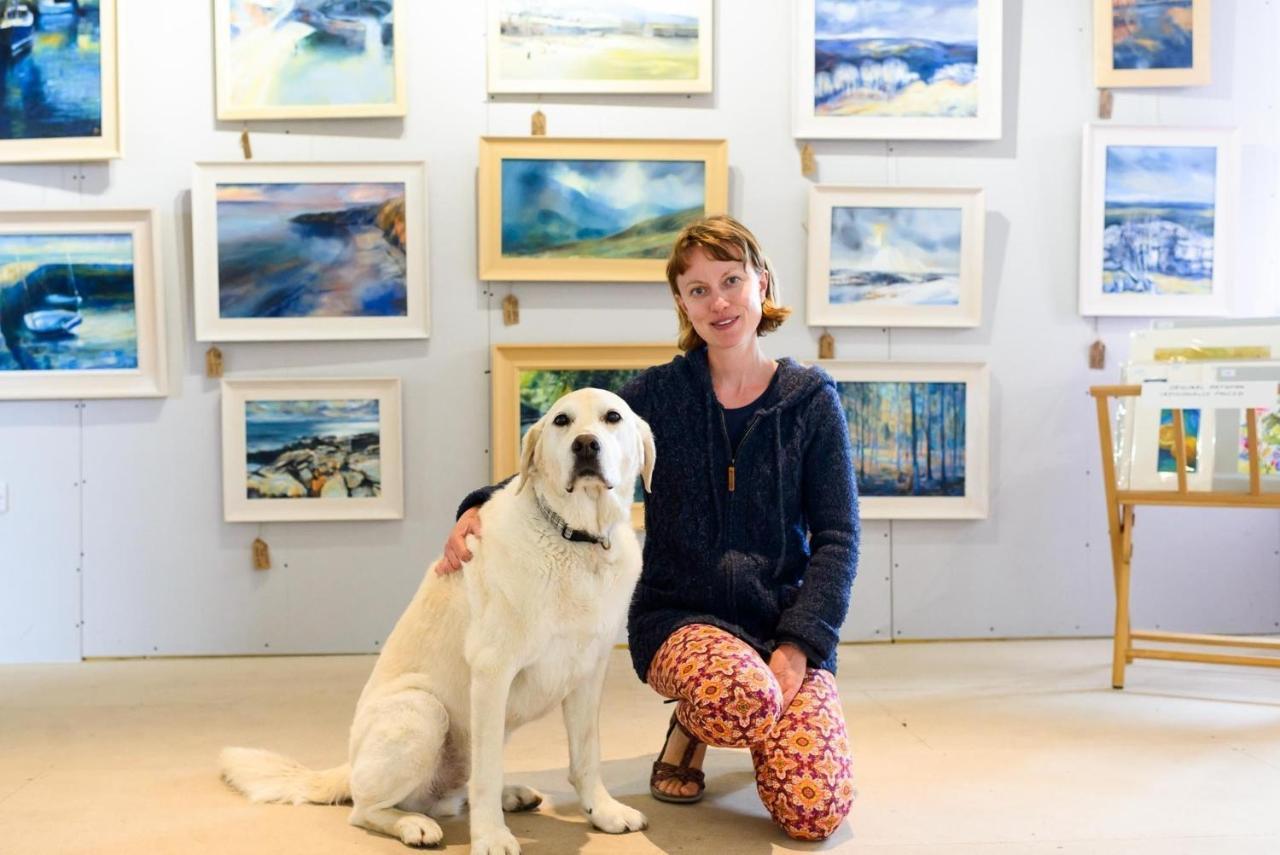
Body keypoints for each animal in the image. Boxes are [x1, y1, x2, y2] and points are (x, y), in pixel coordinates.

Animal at [220, 389, 655, 855]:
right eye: (562, 421)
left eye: (612, 417)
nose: (586, 445)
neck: (577, 539)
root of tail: (349, 765)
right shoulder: (492, 671)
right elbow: (486, 774)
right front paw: (491, 837)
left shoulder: (588, 672)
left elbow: (587, 755)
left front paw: (603, 811)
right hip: (423, 711)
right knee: (366, 807)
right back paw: (413, 824)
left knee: (458, 788)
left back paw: (509, 795)